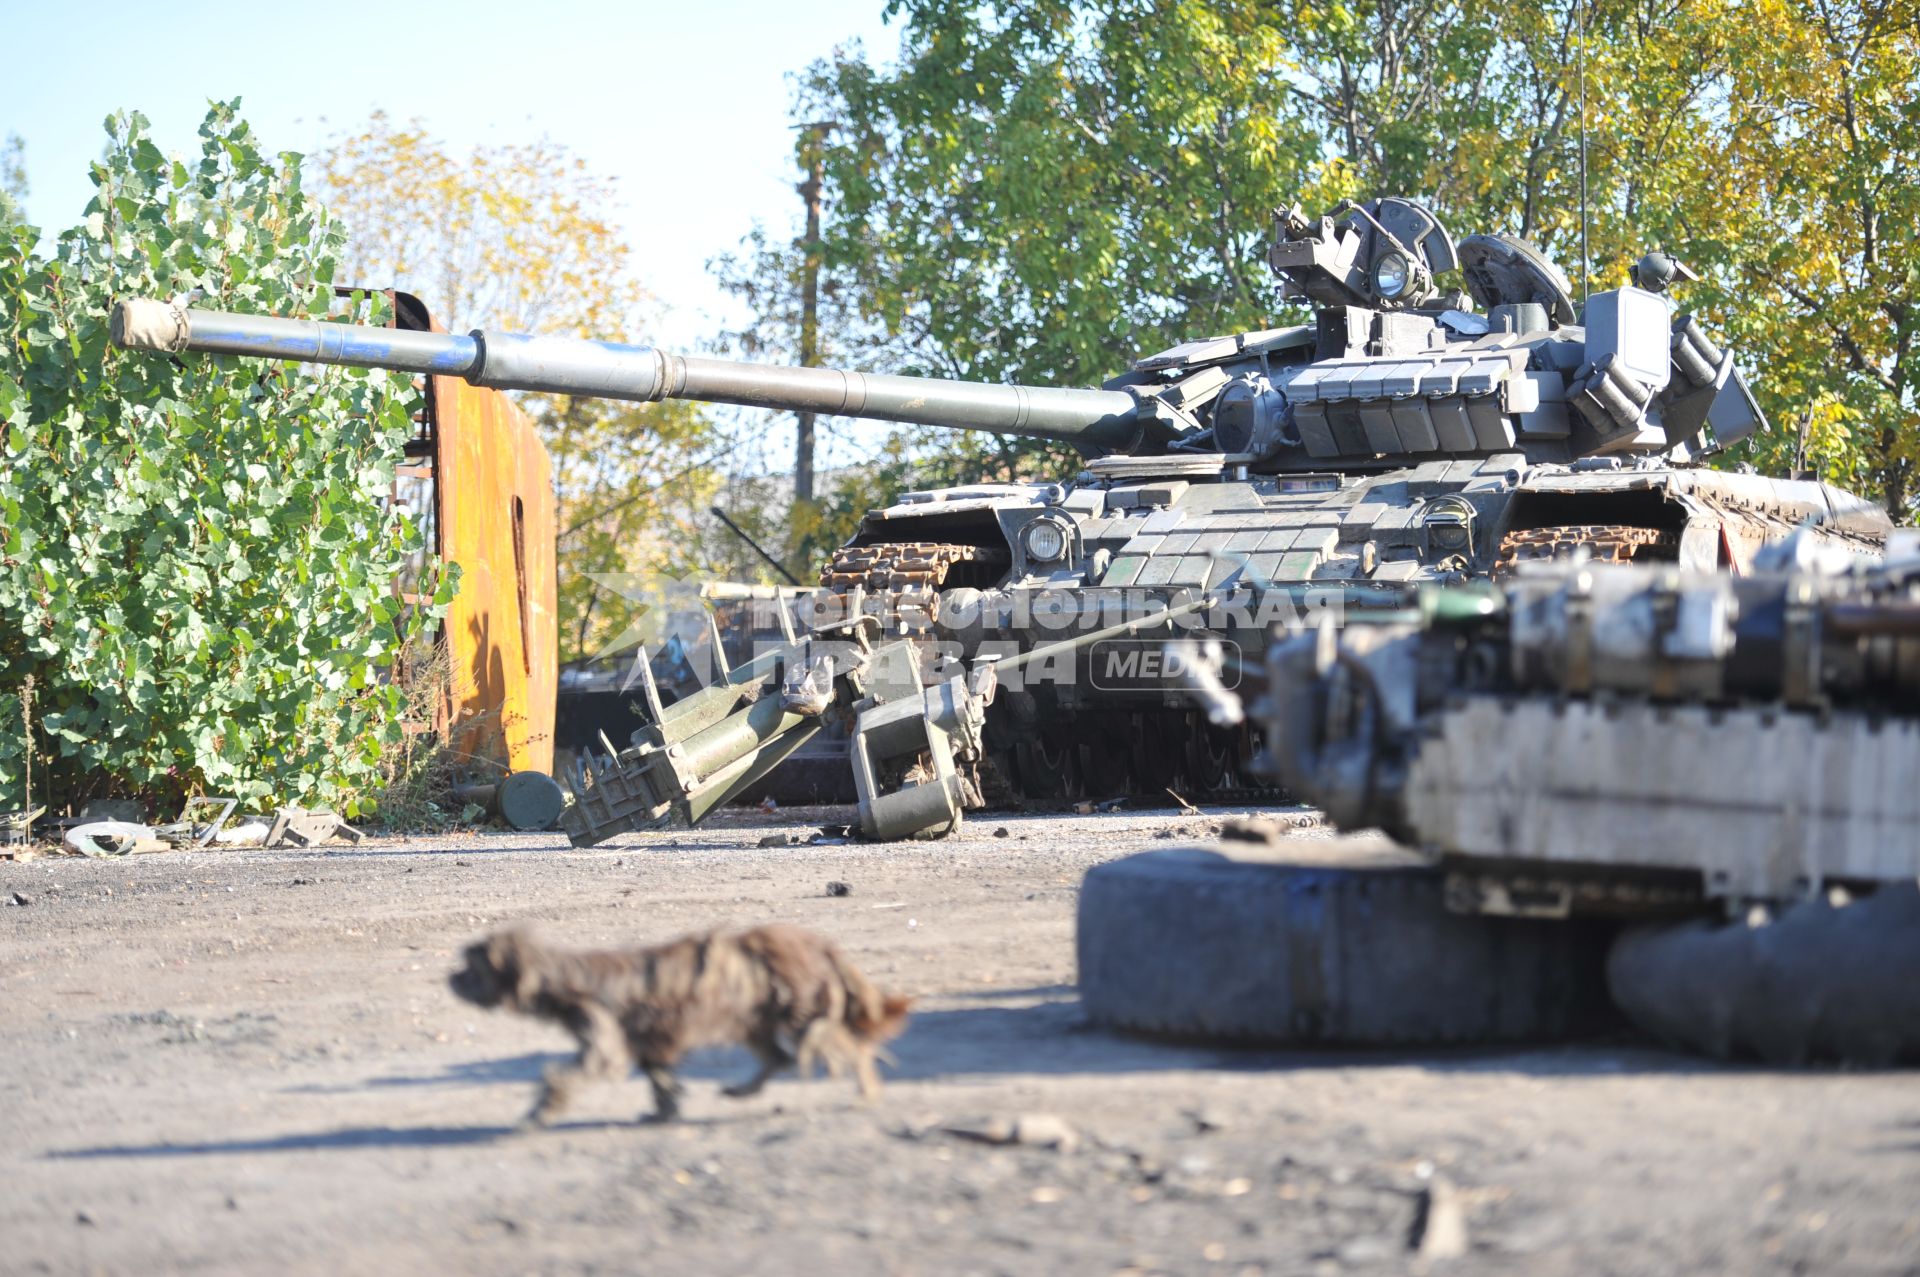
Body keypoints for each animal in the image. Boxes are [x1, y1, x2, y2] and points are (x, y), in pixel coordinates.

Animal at [445, 921, 910, 1121]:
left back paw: (867, 1092)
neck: (563, 974)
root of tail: (819, 946)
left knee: (852, 1050)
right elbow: (661, 1078)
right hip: (752, 1019)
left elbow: (573, 1072)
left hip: (801, 1018)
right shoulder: (652, 1044)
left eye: (471, 968)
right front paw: (664, 1111)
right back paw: (741, 1091)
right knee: (777, 1057)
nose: (449, 978)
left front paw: (544, 1107)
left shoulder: (603, 1037)